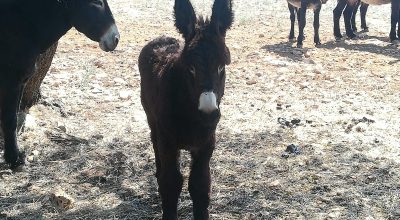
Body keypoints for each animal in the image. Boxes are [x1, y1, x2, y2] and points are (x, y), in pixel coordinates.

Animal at [139, 0, 233, 219]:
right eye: (190, 68)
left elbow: (200, 186)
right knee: (155, 144)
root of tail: (162, 38)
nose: (208, 114)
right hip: (151, 119)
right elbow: (171, 184)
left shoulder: (206, 144)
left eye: (221, 67)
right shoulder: (167, 141)